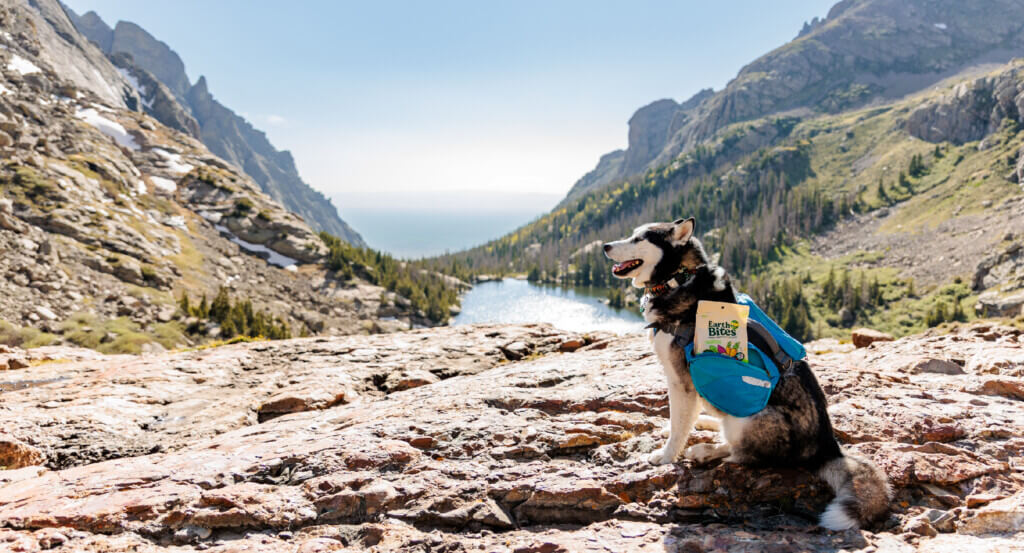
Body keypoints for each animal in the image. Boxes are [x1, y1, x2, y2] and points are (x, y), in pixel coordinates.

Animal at [602, 218, 892, 528]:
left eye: (639, 238)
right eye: (631, 234)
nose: (605, 246)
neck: (679, 278)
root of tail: (827, 447)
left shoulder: (681, 381)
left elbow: (679, 427)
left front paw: (666, 455)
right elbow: (679, 422)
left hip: (750, 420)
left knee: (741, 455)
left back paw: (705, 452)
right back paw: (708, 423)